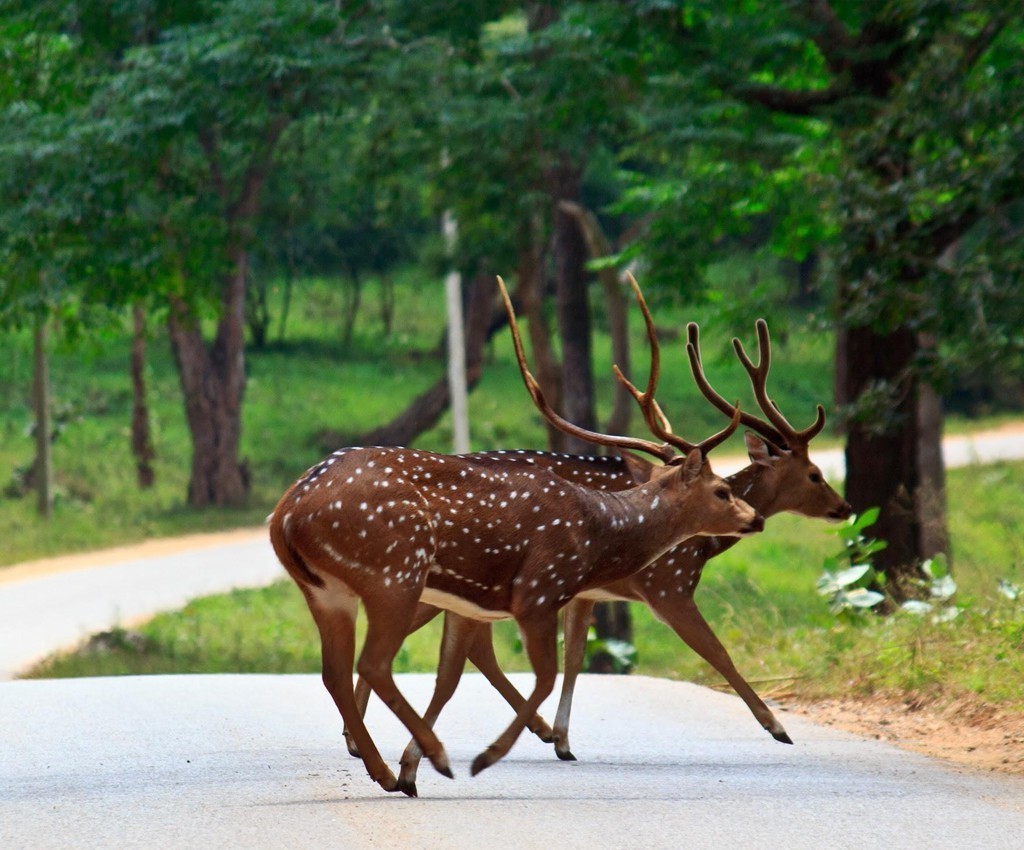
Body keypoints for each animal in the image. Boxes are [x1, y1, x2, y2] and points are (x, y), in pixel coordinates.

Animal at [268, 288, 765, 798]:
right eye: (722, 490)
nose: (757, 518)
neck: (597, 532)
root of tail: (286, 513)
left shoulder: (475, 605)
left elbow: (451, 677)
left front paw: (412, 765)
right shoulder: (539, 590)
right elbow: (544, 675)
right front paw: (486, 757)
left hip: (328, 592)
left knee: (335, 671)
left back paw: (390, 769)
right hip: (396, 570)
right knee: (372, 663)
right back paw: (430, 759)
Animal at [385, 276, 847, 790]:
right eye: (814, 474)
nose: (844, 507)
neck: (702, 544)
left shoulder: (587, 593)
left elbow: (575, 656)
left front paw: (564, 739)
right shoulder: (668, 584)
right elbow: (717, 652)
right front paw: (778, 727)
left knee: (474, 648)